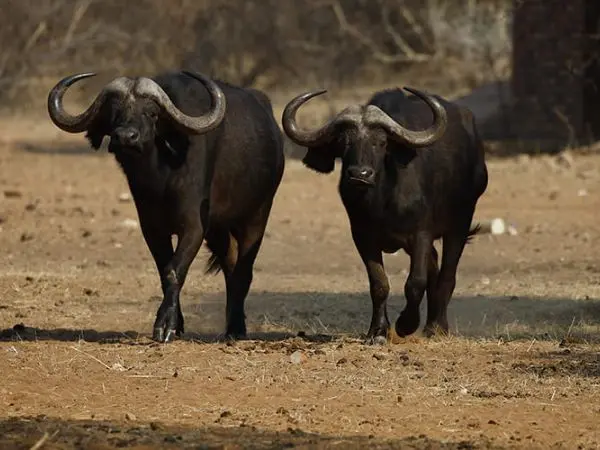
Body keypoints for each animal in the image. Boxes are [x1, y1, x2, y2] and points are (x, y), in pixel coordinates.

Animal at [45, 72, 284, 342]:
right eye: (114, 112)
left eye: (151, 112)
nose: (125, 137)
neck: (162, 176)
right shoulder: (152, 228)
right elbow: (163, 271)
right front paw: (176, 324)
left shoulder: (193, 227)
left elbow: (174, 271)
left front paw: (165, 326)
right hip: (219, 230)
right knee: (230, 266)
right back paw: (232, 324)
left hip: (256, 217)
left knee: (244, 271)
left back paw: (236, 329)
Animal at [282, 87, 488, 342]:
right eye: (343, 141)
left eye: (380, 142)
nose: (359, 174)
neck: (382, 202)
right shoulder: (363, 237)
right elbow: (379, 284)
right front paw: (378, 330)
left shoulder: (421, 234)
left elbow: (415, 282)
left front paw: (405, 325)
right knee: (434, 265)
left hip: (459, 225)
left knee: (447, 274)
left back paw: (437, 327)